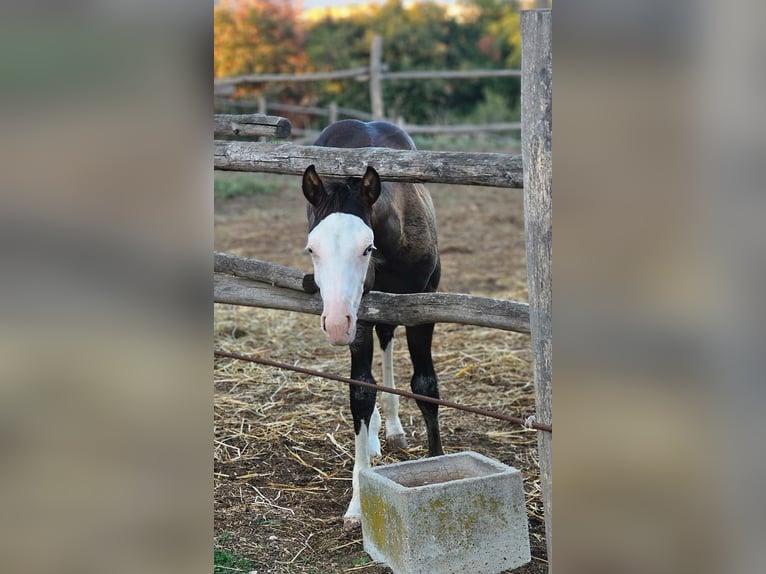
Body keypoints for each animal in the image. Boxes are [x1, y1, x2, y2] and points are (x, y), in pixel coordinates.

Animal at [301, 119, 443, 529]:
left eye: (366, 247)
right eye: (312, 249)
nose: (334, 324)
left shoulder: (423, 302)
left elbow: (425, 385)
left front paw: (439, 465)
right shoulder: (359, 314)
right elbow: (360, 393)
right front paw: (357, 504)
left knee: (388, 341)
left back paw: (394, 429)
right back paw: (380, 434)